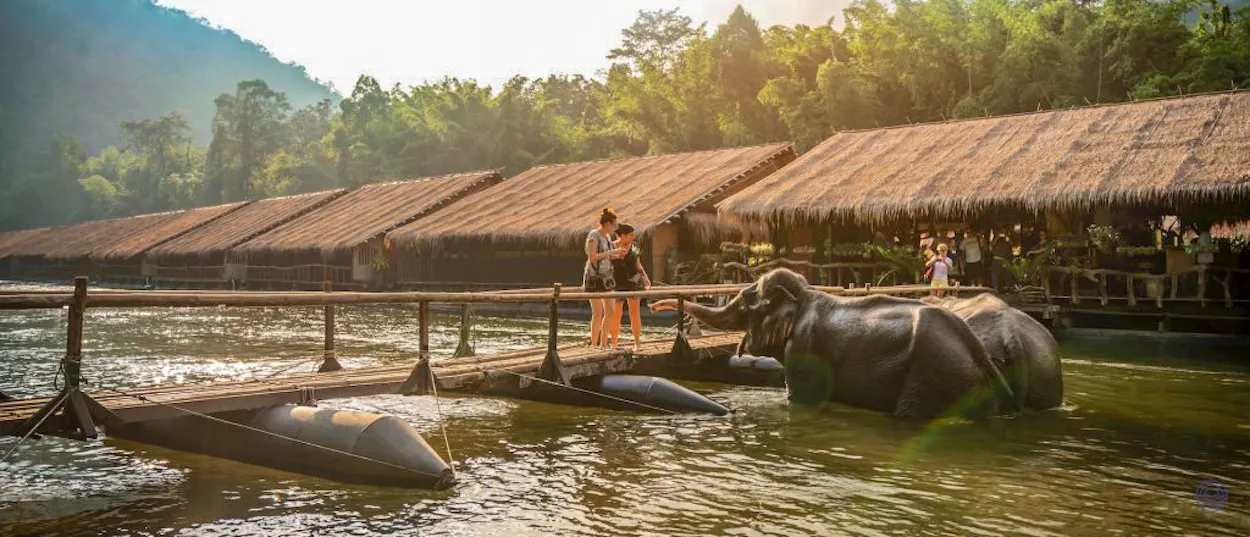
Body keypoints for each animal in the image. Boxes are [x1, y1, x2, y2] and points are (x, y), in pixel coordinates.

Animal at [652, 269, 1064, 420]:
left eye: (744, 303)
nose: (667, 305)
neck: (806, 294)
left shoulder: (805, 349)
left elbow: (800, 399)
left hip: (934, 375)